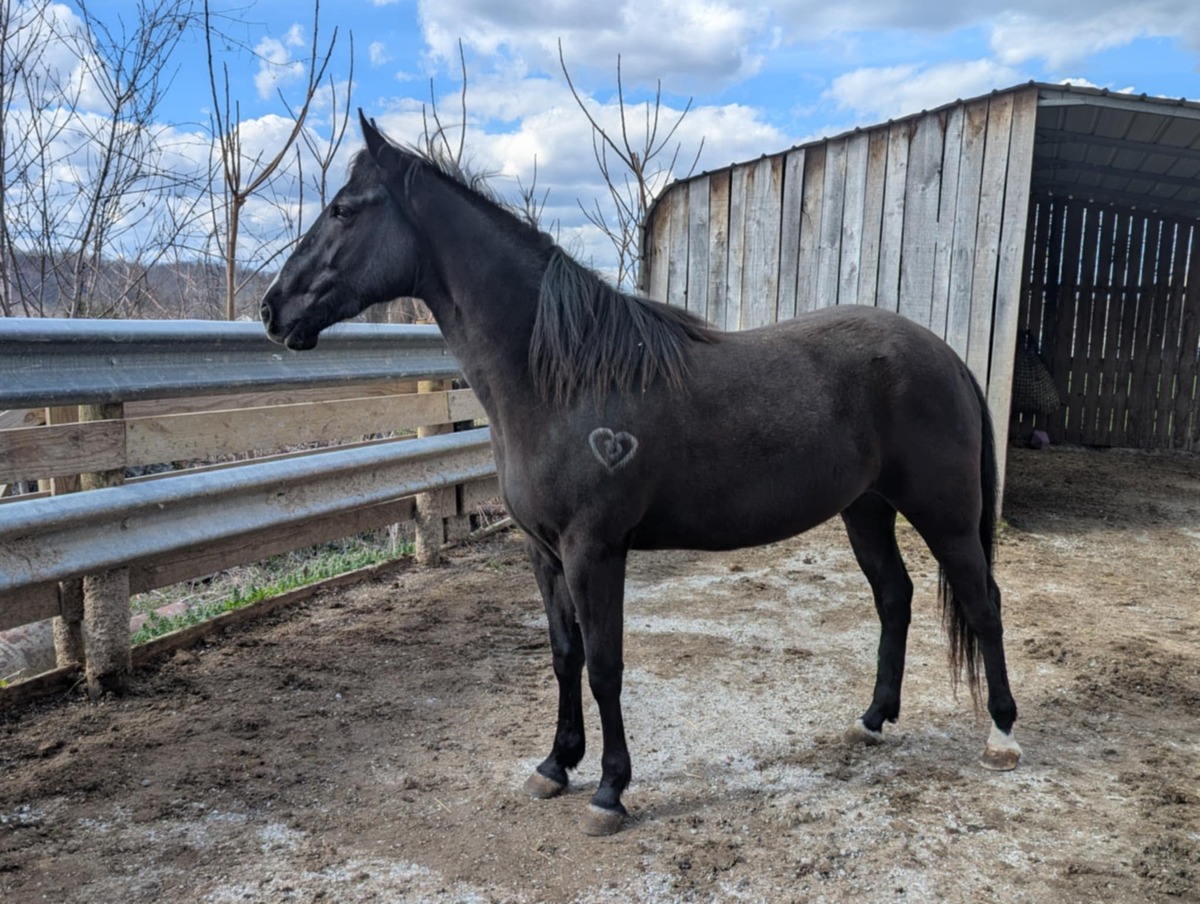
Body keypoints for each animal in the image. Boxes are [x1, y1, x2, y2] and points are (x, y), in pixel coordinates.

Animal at [261, 112, 1021, 836]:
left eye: (344, 210)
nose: (272, 309)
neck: (561, 378)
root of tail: (947, 357)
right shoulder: (542, 551)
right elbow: (564, 654)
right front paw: (554, 764)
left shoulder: (594, 550)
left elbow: (605, 665)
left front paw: (609, 791)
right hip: (866, 509)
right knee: (895, 597)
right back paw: (872, 719)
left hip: (946, 514)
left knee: (984, 603)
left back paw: (1002, 734)